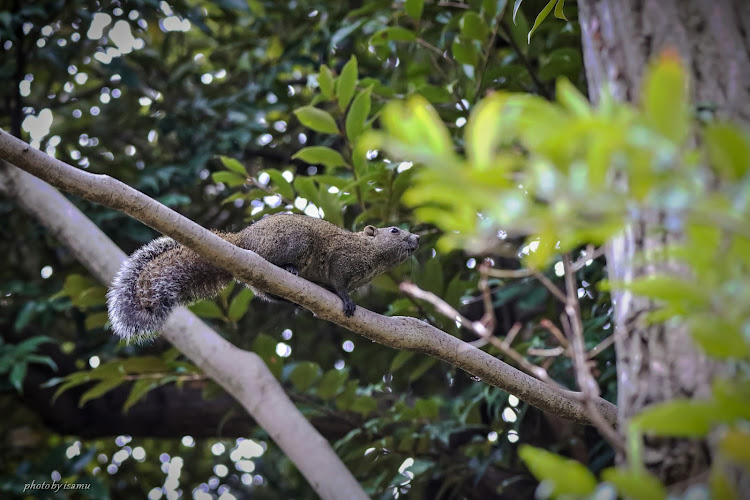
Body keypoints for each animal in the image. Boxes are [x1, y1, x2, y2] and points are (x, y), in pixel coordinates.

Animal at [107, 213, 424, 342]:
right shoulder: (342, 260)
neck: (372, 256)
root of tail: (242, 240)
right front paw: (346, 301)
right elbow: (338, 282)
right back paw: (290, 269)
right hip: (292, 240)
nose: (418, 239)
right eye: (394, 230)